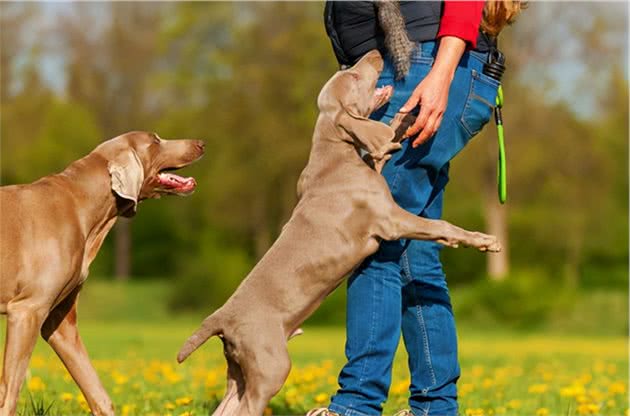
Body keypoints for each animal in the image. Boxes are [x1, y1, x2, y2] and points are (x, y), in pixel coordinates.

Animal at [0, 132, 205, 416]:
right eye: (155, 141)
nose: (201, 144)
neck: (82, 205)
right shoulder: (27, 310)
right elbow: (10, 392)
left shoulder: (60, 324)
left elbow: (100, 395)